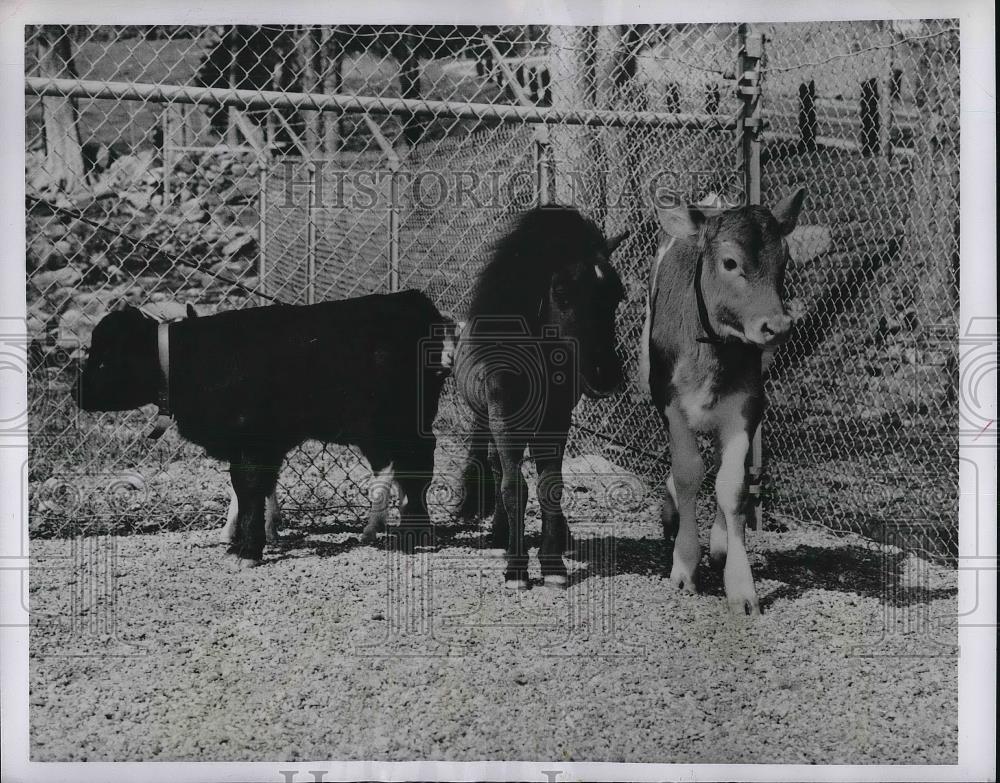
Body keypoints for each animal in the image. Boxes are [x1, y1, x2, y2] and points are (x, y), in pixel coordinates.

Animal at [456, 205, 624, 592]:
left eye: (616, 295)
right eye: (560, 291)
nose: (605, 375)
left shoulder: (555, 420)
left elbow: (551, 486)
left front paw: (553, 565)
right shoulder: (504, 419)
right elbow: (513, 487)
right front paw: (516, 569)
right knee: (498, 467)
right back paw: (500, 537)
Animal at [644, 187, 808, 616]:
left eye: (783, 260)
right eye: (730, 262)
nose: (778, 326)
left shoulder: (747, 404)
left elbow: (731, 484)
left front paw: (740, 583)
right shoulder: (669, 401)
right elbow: (688, 473)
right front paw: (684, 564)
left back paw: (720, 543)